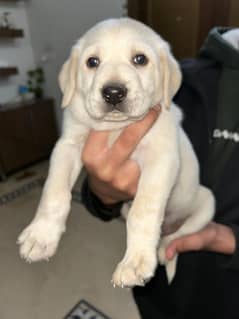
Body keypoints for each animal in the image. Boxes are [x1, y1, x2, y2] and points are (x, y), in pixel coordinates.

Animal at [17, 17, 215, 288]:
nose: (113, 92)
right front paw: (41, 235)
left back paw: (162, 250)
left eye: (140, 59)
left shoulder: (161, 158)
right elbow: (54, 193)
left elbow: (143, 211)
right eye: (92, 62)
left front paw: (135, 263)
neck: (115, 127)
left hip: (206, 202)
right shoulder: (67, 146)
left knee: (176, 237)